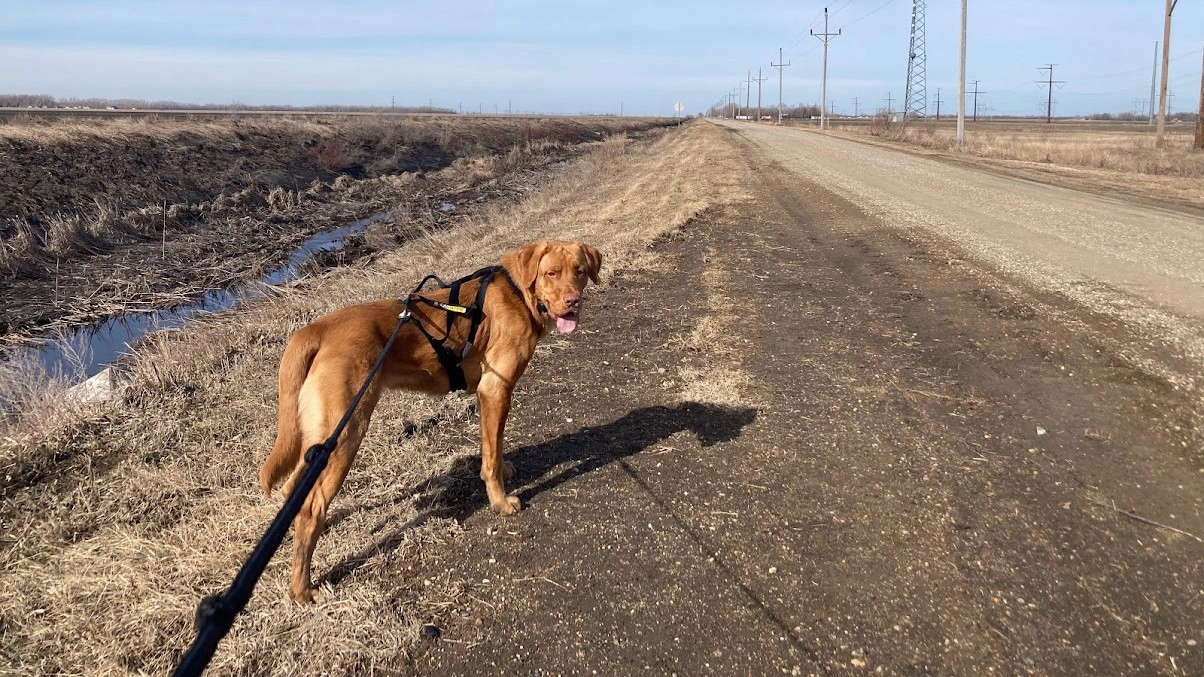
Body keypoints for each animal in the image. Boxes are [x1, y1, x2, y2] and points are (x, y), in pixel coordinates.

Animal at [261, 238, 602, 599]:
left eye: (580, 271)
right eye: (551, 273)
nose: (573, 302)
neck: (518, 293)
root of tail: (315, 328)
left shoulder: (490, 395)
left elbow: (494, 446)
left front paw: (504, 469)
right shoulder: (495, 389)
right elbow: (490, 458)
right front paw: (499, 501)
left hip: (320, 437)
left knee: (294, 490)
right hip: (345, 433)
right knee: (311, 509)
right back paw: (301, 589)